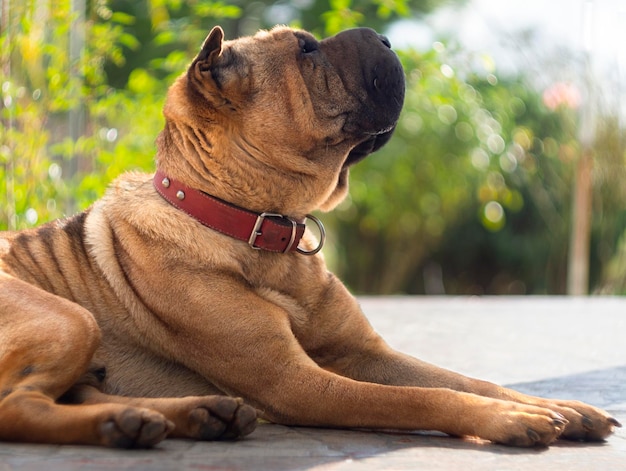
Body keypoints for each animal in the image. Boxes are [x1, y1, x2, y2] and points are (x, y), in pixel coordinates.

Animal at [0, 26, 620, 450]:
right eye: (306, 51)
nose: (384, 35)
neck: (258, 228)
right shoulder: (298, 382)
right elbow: (425, 396)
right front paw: (511, 420)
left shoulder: (363, 352)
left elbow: (469, 379)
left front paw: (556, 405)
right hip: (70, 318)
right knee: (18, 408)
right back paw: (133, 420)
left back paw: (176, 415)